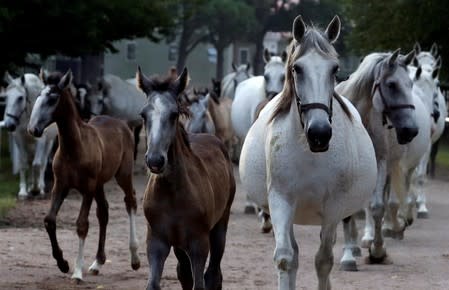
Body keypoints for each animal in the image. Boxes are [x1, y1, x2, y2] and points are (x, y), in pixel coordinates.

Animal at [28, 69, 140, 280]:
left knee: (130, 201)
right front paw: (63, 263)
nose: (33, 129)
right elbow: (49, 220)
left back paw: (135, 258)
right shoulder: (60, 185)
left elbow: (82, 224)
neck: (74, 148)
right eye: (38, 95)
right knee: (103, 212)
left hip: (122, 175)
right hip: (99, 184)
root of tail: (122, 124)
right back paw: (97, 262)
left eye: (52, 99)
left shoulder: (87, 188)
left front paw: (77, 272)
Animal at [136, 67, 234, 290]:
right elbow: (155, 283)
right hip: (179, 245)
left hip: (219, 227)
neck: (172, 192)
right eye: (143, 114)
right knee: (184, 273)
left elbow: (200, 282)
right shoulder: (156, 241)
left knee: (213, 274)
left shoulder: (199, 243)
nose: (155, 160)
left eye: (174, 114)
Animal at [240, 16, 376, 290]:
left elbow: (323, 260)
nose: (319, 132)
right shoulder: (281, 200)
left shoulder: (334, 207)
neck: (309, 153)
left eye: (335, 69)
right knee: (293, 254)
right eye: (297, 69)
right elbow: (285, 258)